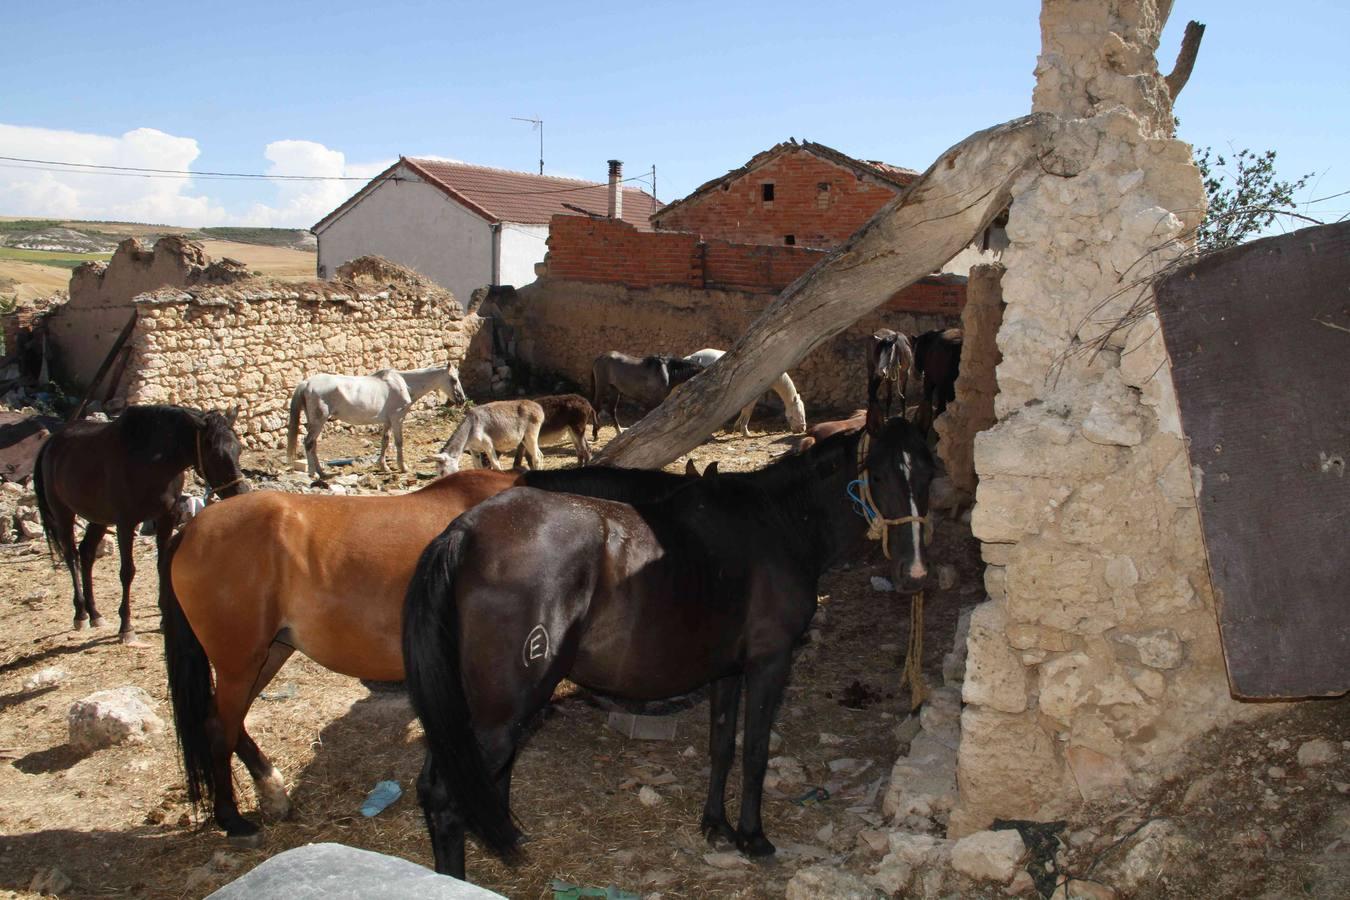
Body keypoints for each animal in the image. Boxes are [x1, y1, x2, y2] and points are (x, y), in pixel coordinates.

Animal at [34, 404, 249, 644]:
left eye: (238, 449)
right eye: (216, 454)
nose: (240, 493)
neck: (152, 462)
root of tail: (52, 442)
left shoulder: (166, 518)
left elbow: (162, 565)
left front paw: (163, 621)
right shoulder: (126, 524)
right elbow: (127, 572)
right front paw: (126, 627)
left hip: (97, 518)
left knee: (86, 553)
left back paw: (95, 613)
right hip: (63, 513)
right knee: (71, 556)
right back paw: (81, 614)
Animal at [160, 461, 696, 847]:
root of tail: (191, 529)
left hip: (268, 653)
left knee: (230, 725)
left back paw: (272, 793)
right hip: (240, 659)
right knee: (218, 728)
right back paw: (233, 820)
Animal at [283, 364, 464, 483]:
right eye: (453, 379)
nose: (462, 400)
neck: (404, 384)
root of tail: (306, 383)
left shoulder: (388, 421)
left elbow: (385, 441)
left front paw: (384, 467)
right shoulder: (397, 419)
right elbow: (399, 442)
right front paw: (403, 467)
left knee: (313, 445)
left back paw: (322, 473)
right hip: (319, 421)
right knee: (308, 443)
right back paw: (313, 474)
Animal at [394, 415, 934, 879]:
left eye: (930, 473)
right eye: (878, 473)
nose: (915, 575)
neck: (777, 523)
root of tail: (463, 533)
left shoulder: (728, 671)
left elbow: (723, 745)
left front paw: (716, 824)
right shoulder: (769, 663)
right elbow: (755, 751)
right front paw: (753, 836)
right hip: (501, 712)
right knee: (446, 797)